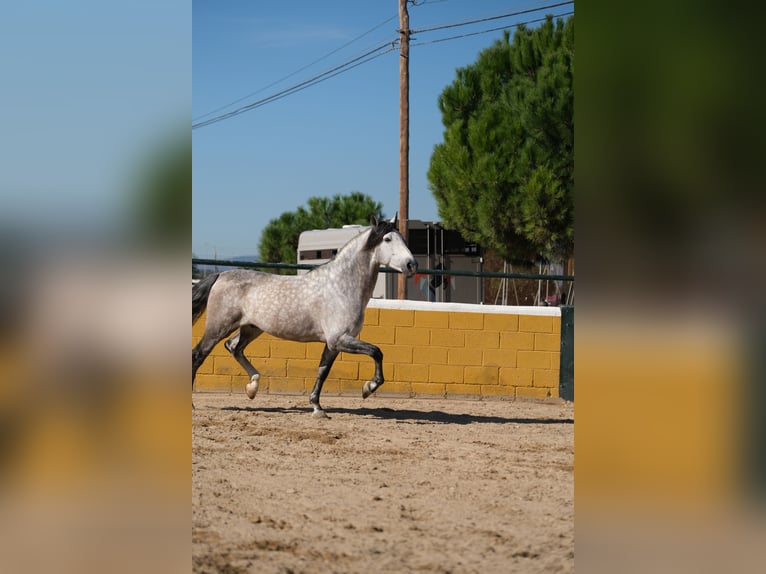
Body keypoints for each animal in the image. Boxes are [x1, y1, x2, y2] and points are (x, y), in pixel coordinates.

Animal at [194, 216, 420, 418]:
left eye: (402, 237)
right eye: (387, 239)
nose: (411, 265)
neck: (341, 287)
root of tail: (221, 275)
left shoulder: (333, 344)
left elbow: (323, 372)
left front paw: (318, 408)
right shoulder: (339, 339)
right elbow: (376, 352)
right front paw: (368, 388)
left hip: (251, 328)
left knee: (234, 347)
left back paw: (252, 388)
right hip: (219, 327)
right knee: (198, 355)